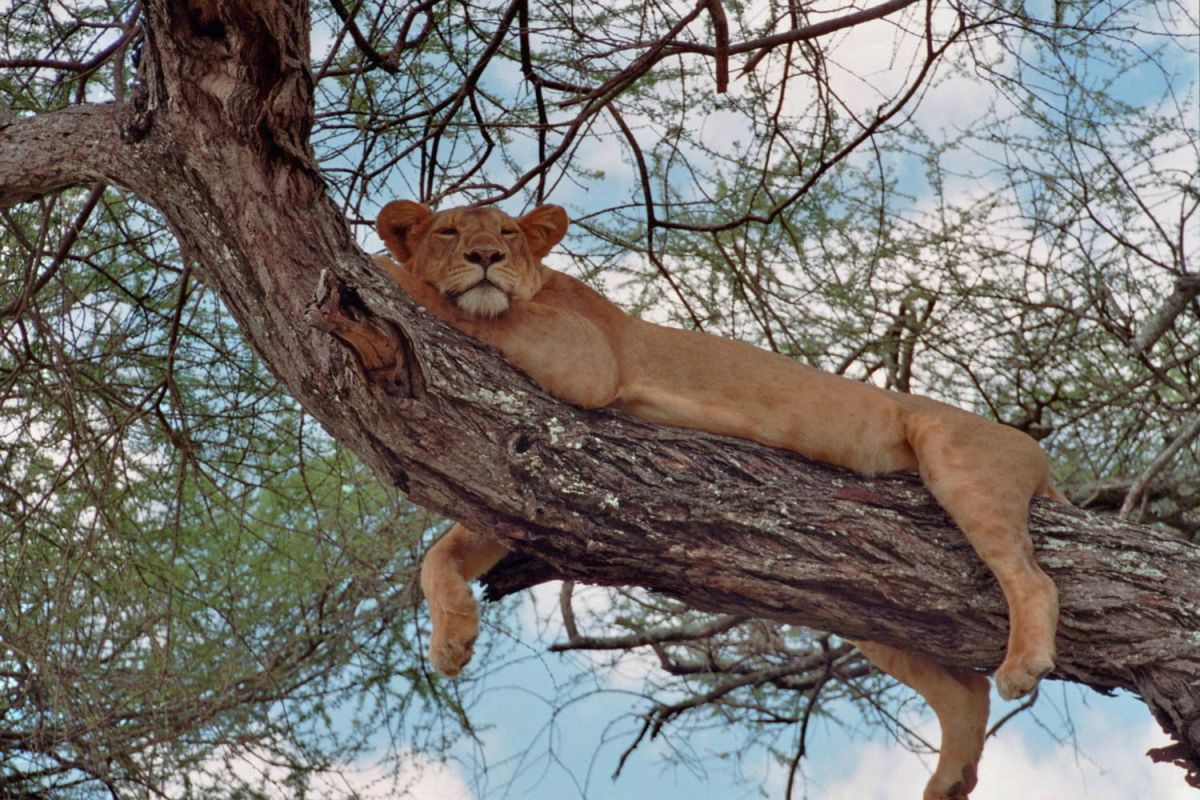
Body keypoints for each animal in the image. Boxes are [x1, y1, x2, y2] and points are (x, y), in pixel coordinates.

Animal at [373, 200, 1065, 800]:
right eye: (448, 232)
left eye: (508, 233)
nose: (486, 256)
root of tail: (1036, 452)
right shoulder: (519, 472)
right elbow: (439, 554)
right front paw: (451, 642)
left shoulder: (587, 357)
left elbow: (455, 304)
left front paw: (378, 270)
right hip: (869, 603)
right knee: (965, 689)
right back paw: (949, 779)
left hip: (958, 459)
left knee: (1031, 579)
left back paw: (1023, 665)